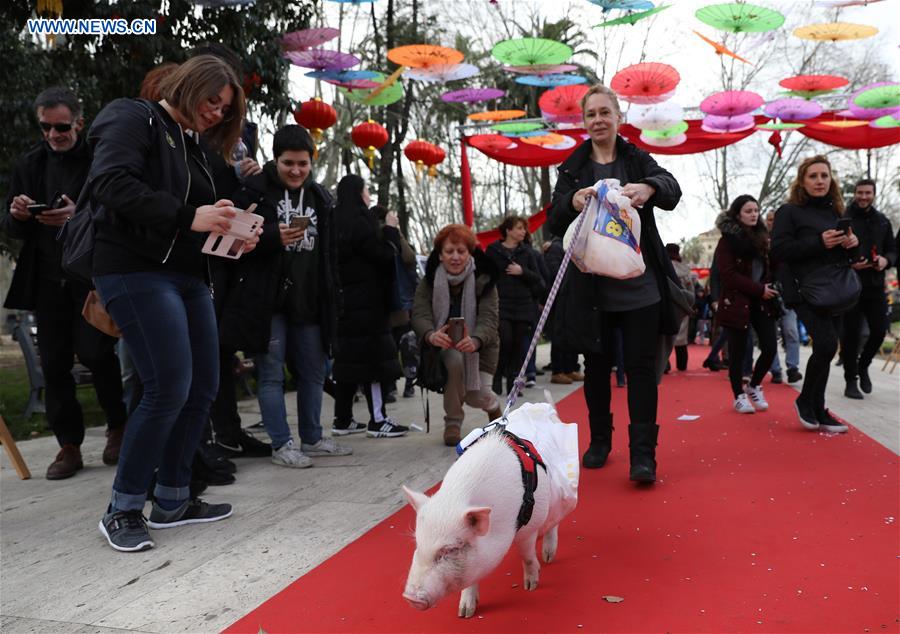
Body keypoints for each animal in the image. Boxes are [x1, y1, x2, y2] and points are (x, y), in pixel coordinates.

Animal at [400, 430, 564, 616]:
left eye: (451, 549)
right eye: (418, 544)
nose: (409, 598)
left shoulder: (528, 527)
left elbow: (527, 555)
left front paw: (530, 587)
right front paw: (465, 613)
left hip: (549, 499)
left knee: (554, 519)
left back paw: (548, 557)